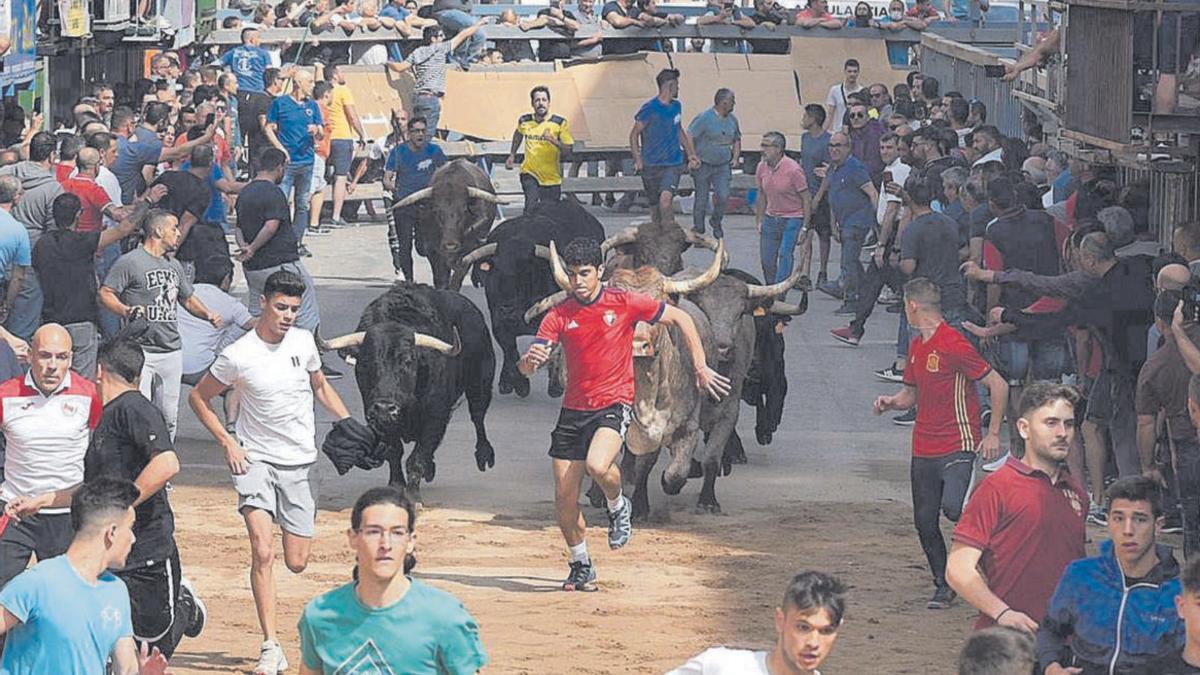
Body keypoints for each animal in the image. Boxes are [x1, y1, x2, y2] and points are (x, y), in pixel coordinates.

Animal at [324, 281, 496, 497]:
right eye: (366, 362)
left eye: (407, 361)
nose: (385, 407)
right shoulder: (376, 417)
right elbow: (394, 451)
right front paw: (396, 484)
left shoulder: (435, 415)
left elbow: (418, 456)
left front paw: (414, 496)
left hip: (480, 383)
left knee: (478, 416)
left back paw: (484, 455)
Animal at [391, 158, 504, 289]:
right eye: (436, 210)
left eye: (464, 210)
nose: (451, 245)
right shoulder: (432, 250)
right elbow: (440, 278)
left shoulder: (469, 251)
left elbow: (457, 277)